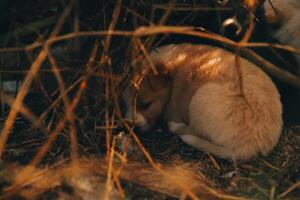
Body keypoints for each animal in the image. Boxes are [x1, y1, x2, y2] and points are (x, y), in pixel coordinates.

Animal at [123, 43, 282, 161]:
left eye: (146, 105)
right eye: (125, 104)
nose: (131, 126)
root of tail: (253, 145)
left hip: (200, 98)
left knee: (194, 130)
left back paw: (176, 126)